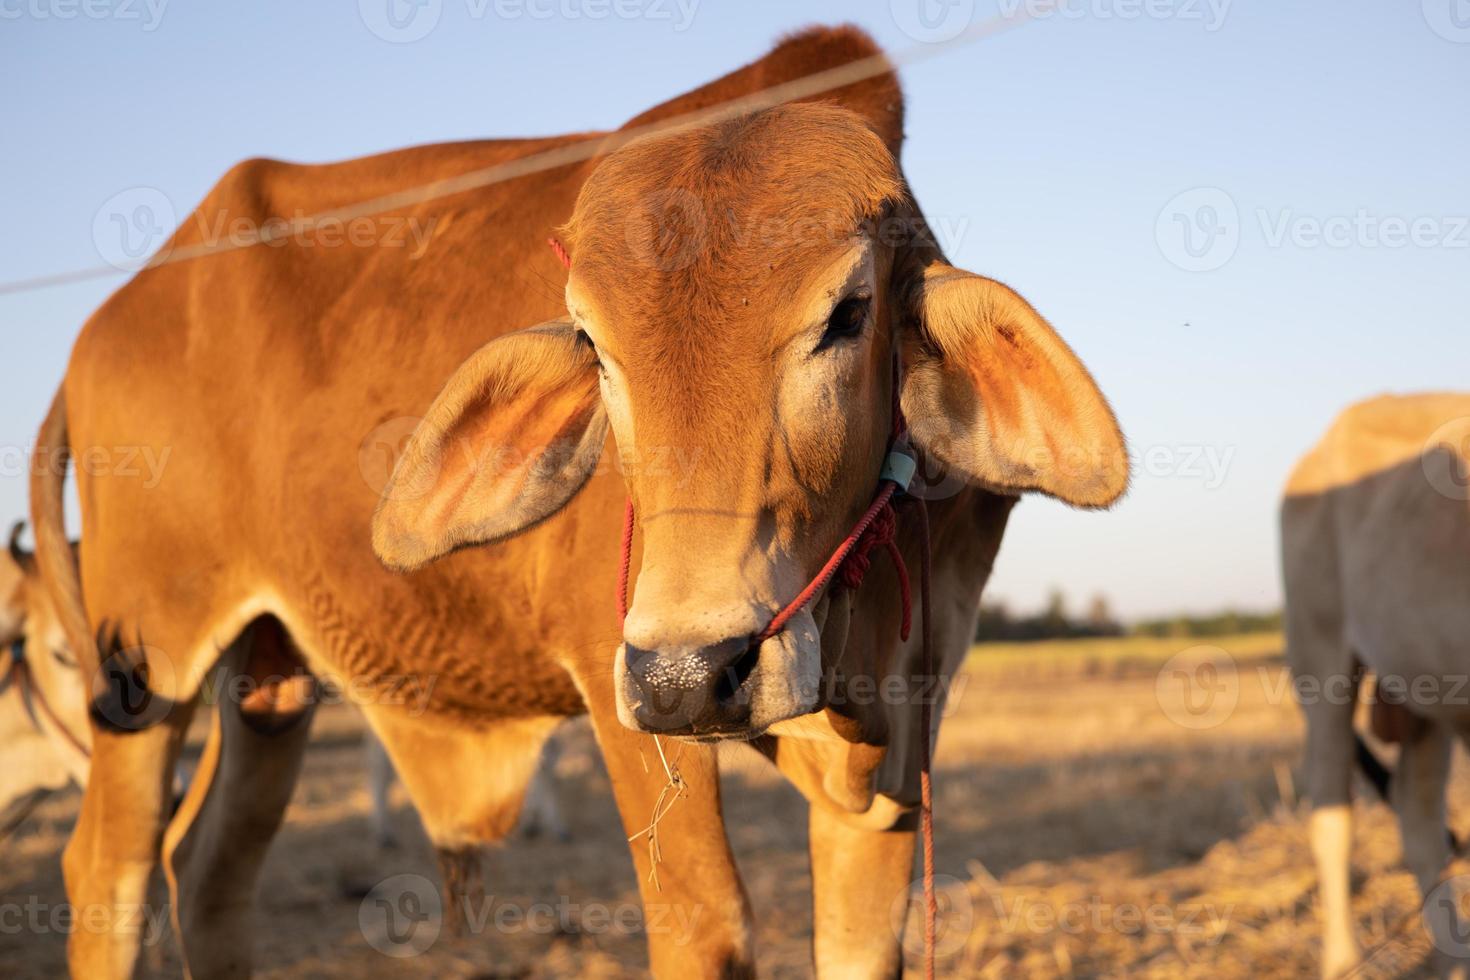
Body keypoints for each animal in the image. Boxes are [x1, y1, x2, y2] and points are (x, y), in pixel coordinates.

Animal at [37, 24, 1123, 980]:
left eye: (849, 314)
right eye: (594, 344)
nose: (693, 672)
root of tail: (104, 322)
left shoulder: (905, 735)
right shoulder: (620, 694)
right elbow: (706, 927)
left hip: (269, 675)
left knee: (207, 871)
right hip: (151, 663)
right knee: (109, 870)